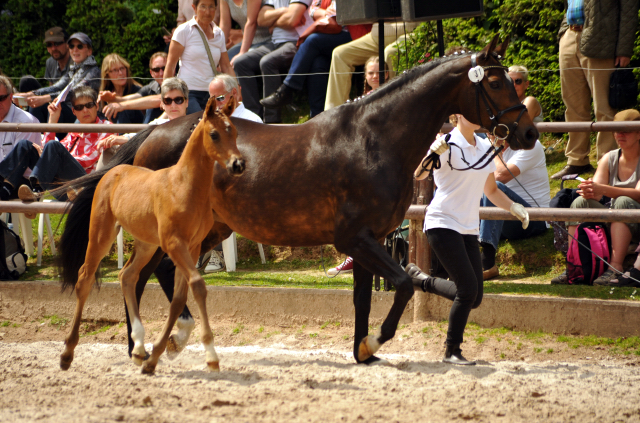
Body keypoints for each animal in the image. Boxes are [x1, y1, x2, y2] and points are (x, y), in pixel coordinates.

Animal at [58, 98, 244, 374]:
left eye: (235, 132)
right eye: (214, 134)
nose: (238, 165)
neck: (184, 186)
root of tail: (112, 172)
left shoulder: (193, 247)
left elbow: (179, 298)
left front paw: (157, 355)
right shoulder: (174, 244)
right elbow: (197, 286)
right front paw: (210, 356)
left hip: (146, 243)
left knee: (127, 276)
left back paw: (137, 348)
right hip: (102, 233)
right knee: (85, 278)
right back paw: (67, 353)